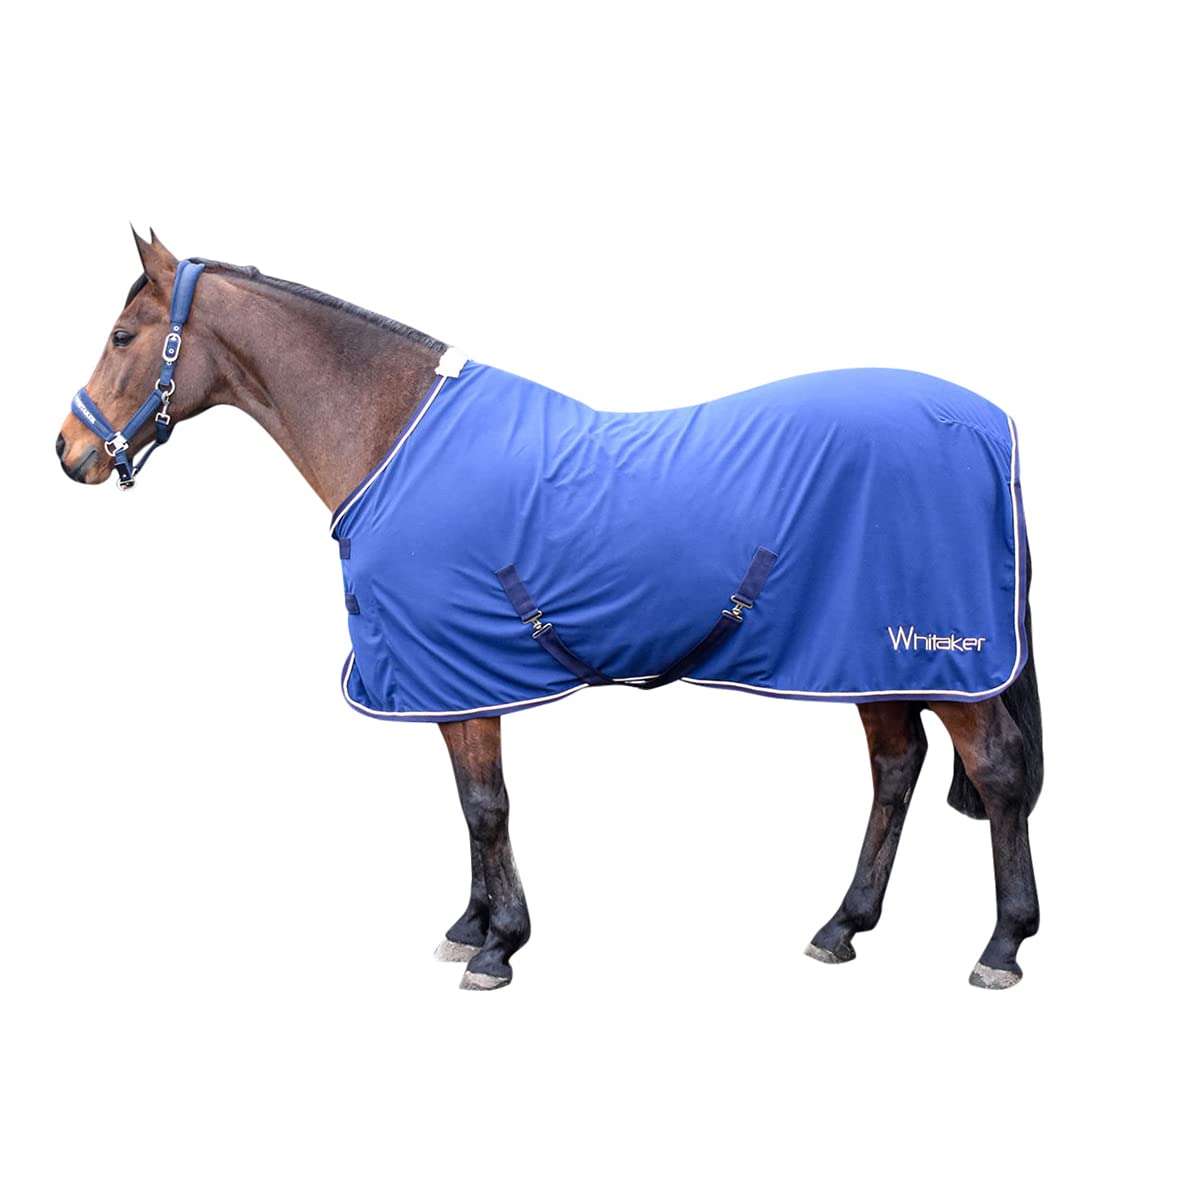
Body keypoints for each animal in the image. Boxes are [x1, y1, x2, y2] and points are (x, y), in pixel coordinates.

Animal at [56, 229, 1043, 991]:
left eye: (121, 334)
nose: (67, 450)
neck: (393, 436)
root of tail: (990, 424)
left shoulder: (462, 669)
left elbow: (485, 803)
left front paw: (499, 947)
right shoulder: (450, 679)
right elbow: (467, 804)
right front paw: (471, 925)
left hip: (935, 656)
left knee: (995, 771)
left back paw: (1001, 946)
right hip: (869, 658)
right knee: (896, 769)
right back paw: (843, 927)